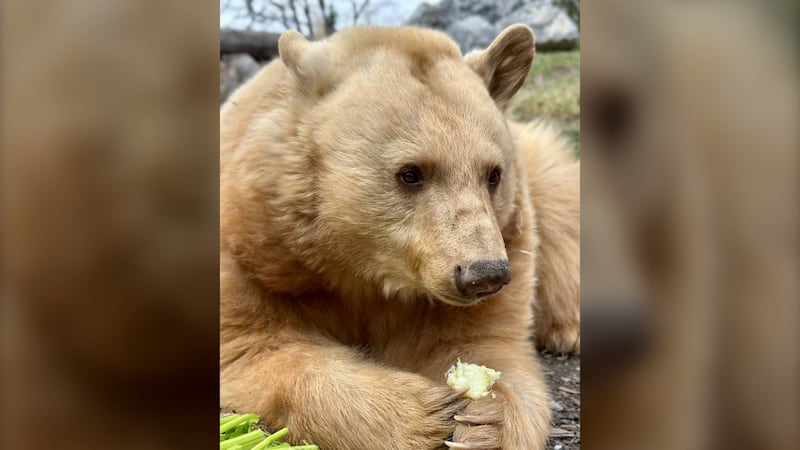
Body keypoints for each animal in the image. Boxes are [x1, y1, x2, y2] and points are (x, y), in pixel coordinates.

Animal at [220, 24, 579, 449]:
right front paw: (424, 411)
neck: (359, 265)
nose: (485, 274)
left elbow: (485, 346)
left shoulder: (505, 240)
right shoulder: (253, 252)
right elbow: (253, 346)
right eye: (410, 173)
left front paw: (484, 418)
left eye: (493, 174)